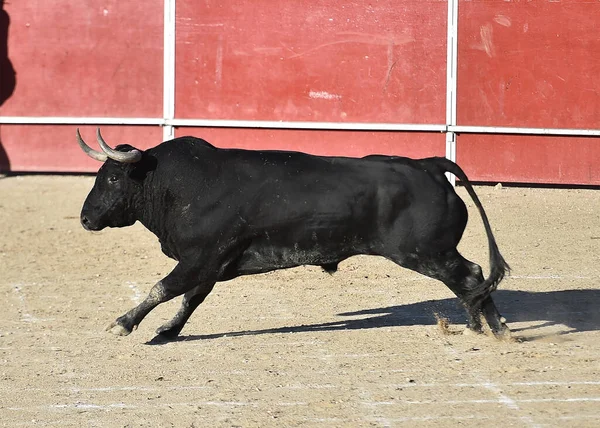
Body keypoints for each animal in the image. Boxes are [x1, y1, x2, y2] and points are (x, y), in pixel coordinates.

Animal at [76, 129, 510, 340]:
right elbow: (189, 298)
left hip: (427, 252)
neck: (181, 185)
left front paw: (123, 323)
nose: (85, 219)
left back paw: (493, 329)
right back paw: (485, 326)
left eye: (112, 177)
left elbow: (161, 289)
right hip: (432, 253)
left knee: (470, 275)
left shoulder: (201, 258)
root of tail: (429, 164)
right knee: (470, 280)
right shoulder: (211, 263)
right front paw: (168, 331)